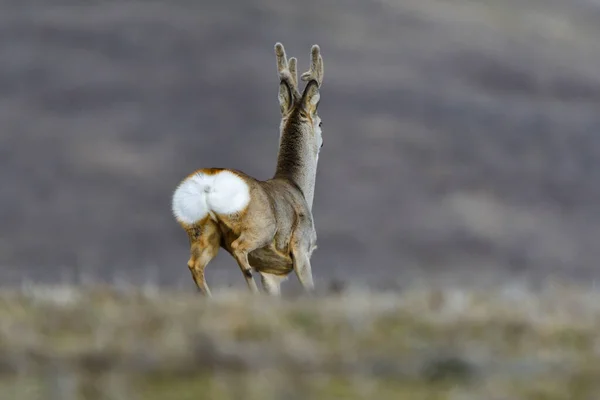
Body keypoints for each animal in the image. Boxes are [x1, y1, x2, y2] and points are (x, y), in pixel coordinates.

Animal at [171, 42, 326, 296]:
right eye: (321, 123)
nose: (322, 142)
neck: (298, 188)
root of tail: (208, 183)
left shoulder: (271, 274)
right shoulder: (302, 248)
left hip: (202, 231)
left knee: (195, 264)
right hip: (261, 226)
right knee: (238, 248)